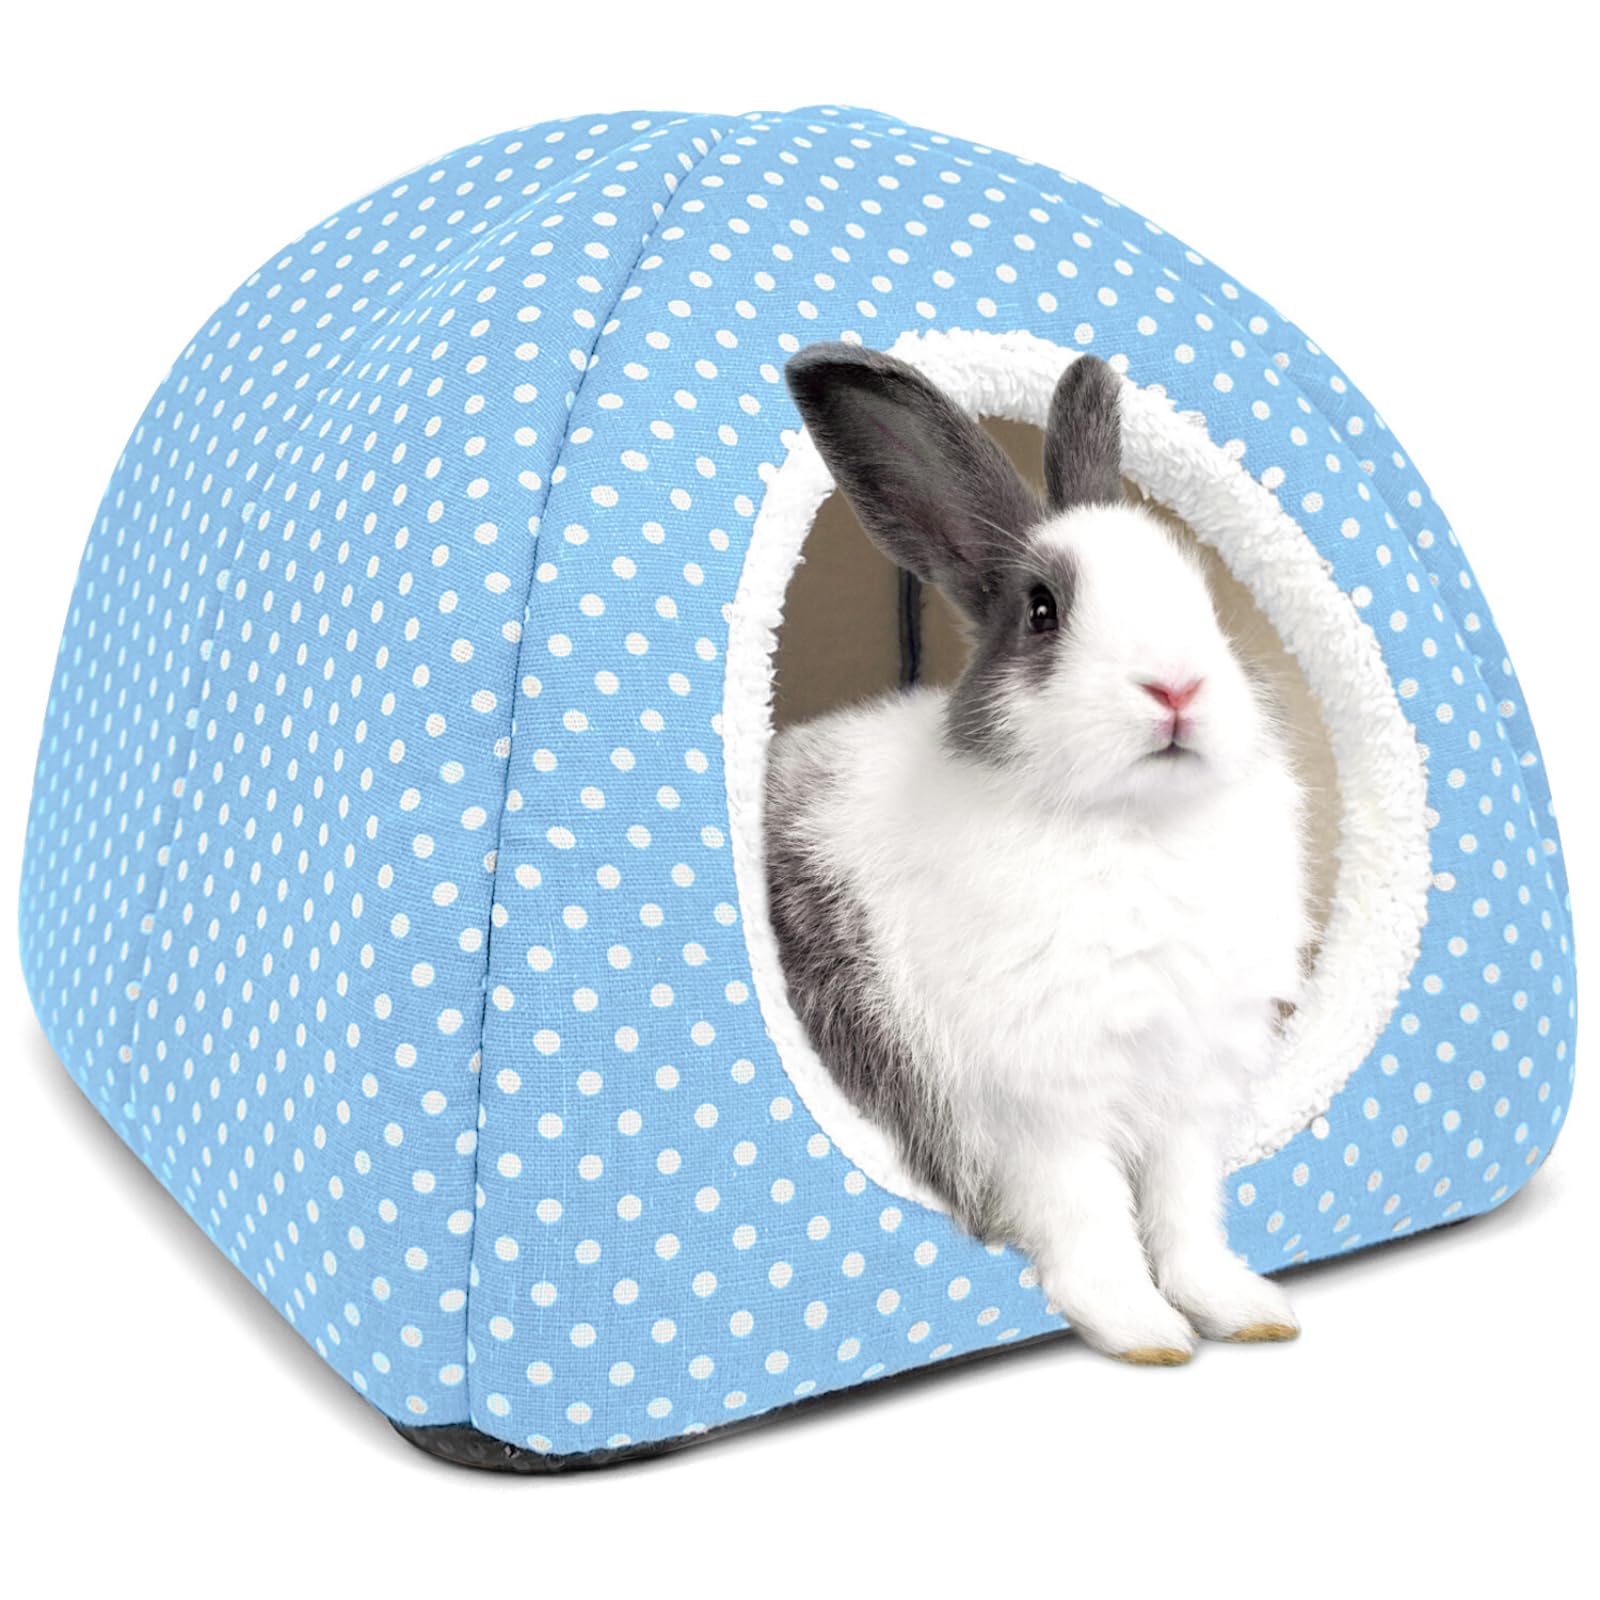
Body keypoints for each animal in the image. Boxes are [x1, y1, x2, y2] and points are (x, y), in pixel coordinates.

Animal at [765, 344, 1311, 1364]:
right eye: (1043, 611)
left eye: (1203, 595)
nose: (1176, 687)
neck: (1134, 825)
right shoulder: (1042, 1108)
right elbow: (1091, 1220)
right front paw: (1146, 1333)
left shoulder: (1188, 1096)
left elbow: (1187, 1216)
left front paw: (1247, 1310)